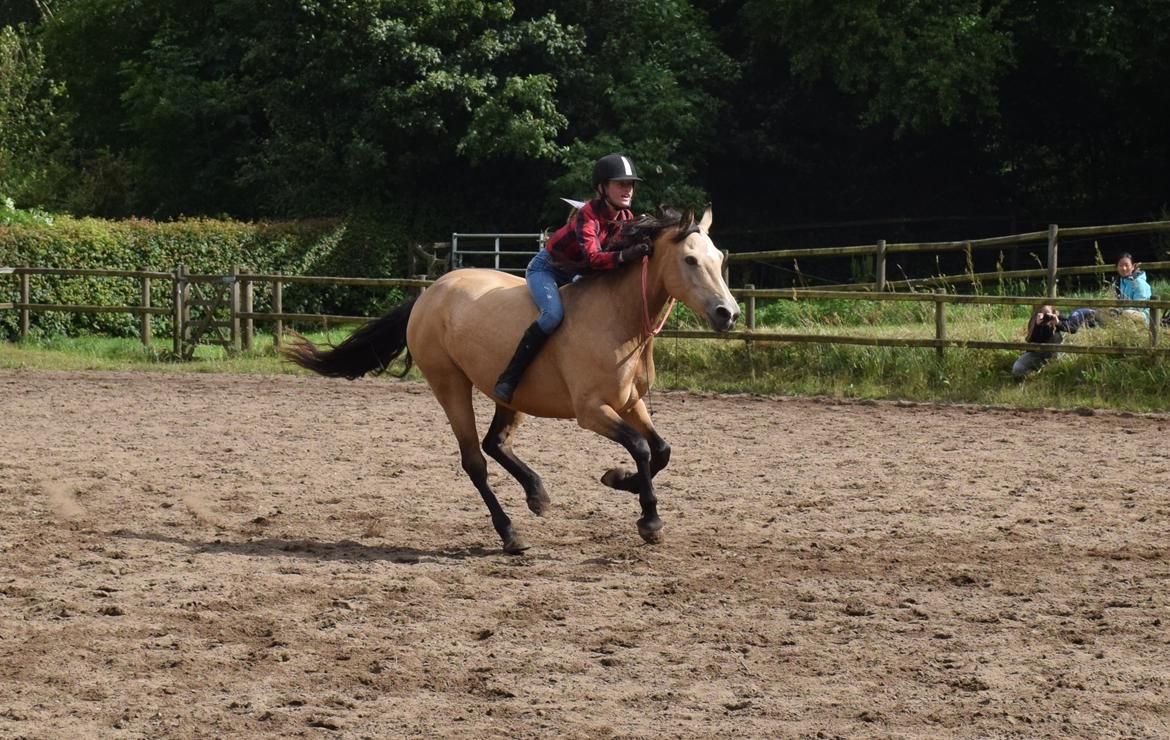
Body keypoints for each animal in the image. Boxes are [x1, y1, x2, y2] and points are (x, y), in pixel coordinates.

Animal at [284, 204, 734, 552]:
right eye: (690, 260)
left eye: (719, 258)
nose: (727, 314)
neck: (618, 317)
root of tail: (430, 293)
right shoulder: (592, 411)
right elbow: (640, 448)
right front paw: (649, 520)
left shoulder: (630, 402)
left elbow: (661, 450)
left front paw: (619, 481)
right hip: (450, 385)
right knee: (475, 460)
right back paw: (511, 533)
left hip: (511, 395)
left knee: (495, 442)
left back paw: (537, 494)